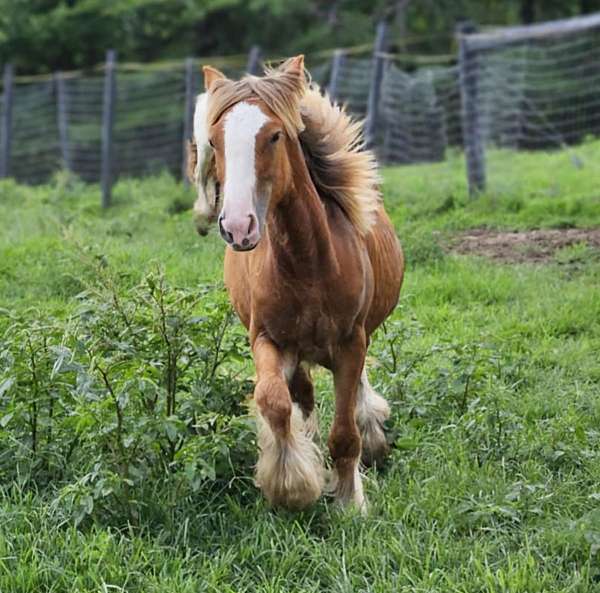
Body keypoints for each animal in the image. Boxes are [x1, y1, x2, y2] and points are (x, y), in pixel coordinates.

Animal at [189, 56, 404, 508]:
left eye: (274, 136)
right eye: (214, 141)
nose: (238, 227)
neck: (308, 264)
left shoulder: (350, 342)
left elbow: (346, 433)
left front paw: (349, 501)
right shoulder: (268, 340)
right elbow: (273, 402)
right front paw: (293, 483)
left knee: (356, 396)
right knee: (301, 395)